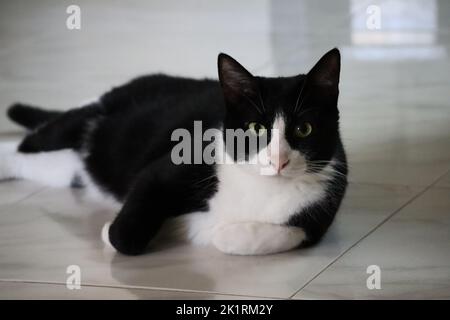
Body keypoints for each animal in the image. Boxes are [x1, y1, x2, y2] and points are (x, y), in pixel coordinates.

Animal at [0, 48, 348, 256]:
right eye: (255, 128)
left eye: (304, 129)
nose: (279, 160)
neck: (261, 189)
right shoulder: (172, 166)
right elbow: (127, 232)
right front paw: (110, 231)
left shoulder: (319, 214)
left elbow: (276, 235)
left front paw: (216, 231)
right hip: (84, 120)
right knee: (34, 139)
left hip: (74, 169)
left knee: (34, 162)